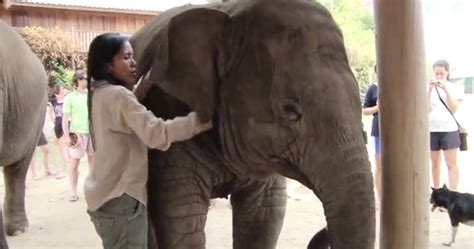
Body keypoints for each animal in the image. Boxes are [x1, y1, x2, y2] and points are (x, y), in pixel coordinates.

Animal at [130, 0, 374, 249]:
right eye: (290, 111)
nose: (144, 78)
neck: (230, 14)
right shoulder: (165, 112)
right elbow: (183, 221)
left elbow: (262, 218)